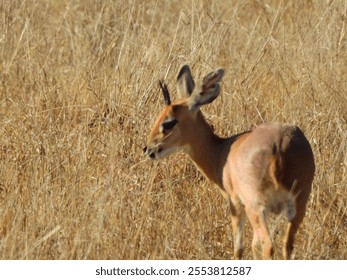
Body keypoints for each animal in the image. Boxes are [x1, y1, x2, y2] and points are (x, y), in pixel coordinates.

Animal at [143, 64, 316, 260]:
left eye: (169, 122)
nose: (148, 148)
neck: (221, 151)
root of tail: (280, 145)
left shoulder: (236, 203)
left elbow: (239, 248)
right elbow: (253, 246)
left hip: (257, 208)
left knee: (269, 246)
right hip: (297, 206)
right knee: (286, 246)